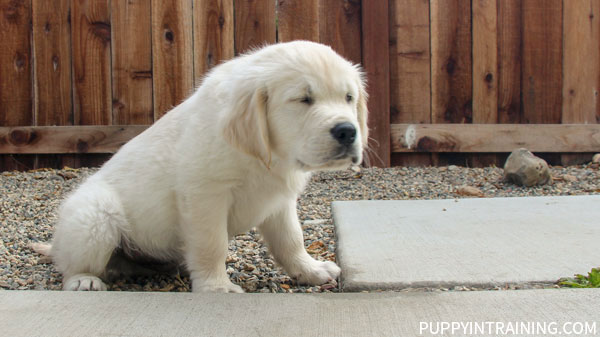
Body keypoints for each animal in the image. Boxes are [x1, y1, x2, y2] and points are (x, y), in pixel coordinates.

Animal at [48, 40, 366, 292]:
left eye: (349, 97)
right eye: (304, 99)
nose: (347, 132)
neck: (264, 155)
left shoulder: (279, 200)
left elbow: (291, 239)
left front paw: (310, 270)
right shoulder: (205, 193)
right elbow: (212, 244)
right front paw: (217, 287)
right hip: (94, 217)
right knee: (73, 265)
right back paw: (83, 279)